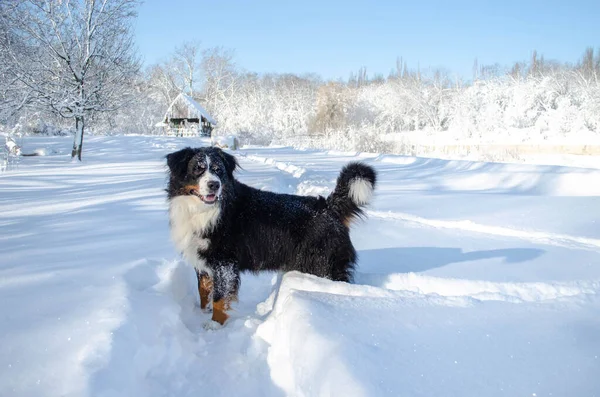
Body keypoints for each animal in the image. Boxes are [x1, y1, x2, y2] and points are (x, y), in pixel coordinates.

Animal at [166, 146, 378, 324]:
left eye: (219, 171)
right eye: (198, 169)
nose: (214, 185)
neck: (202, 211)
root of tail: (328, 207)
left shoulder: (224, 263)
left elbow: (220, 298)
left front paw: (214, 326)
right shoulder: (202, 259)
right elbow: (203, 291)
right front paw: (202, 312)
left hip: (322, 265)